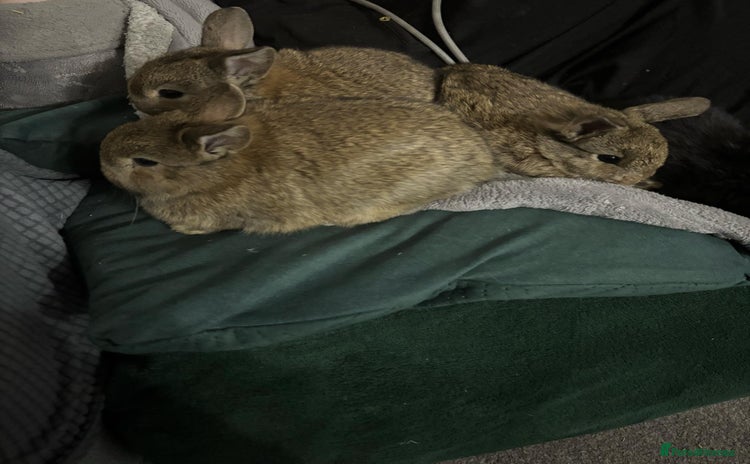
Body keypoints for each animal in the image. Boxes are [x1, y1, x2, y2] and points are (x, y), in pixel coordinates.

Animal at [99, 98, 503, 235]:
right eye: (153, 120)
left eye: (145, 162)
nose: (100, 156)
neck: (213, 174)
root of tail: (481, 157)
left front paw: (184, 230)